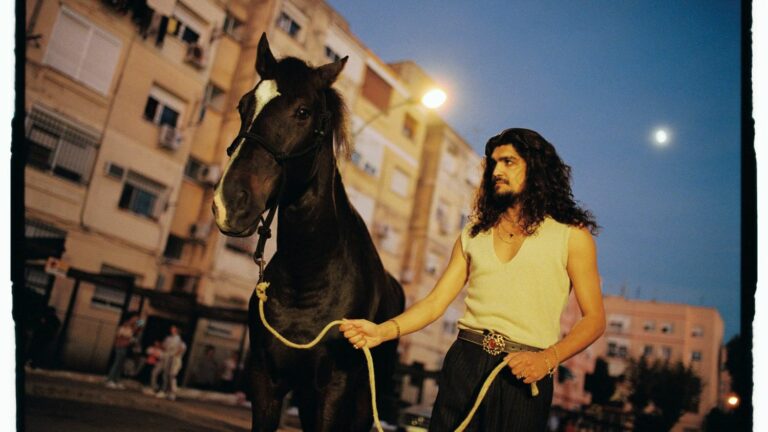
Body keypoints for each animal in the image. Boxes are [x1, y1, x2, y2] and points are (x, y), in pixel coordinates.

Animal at [210, 34, 402, 432]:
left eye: (302, 112)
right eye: (243, 104)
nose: (229, 201)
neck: (309, 274)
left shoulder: (335, 390)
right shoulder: (265, 382)